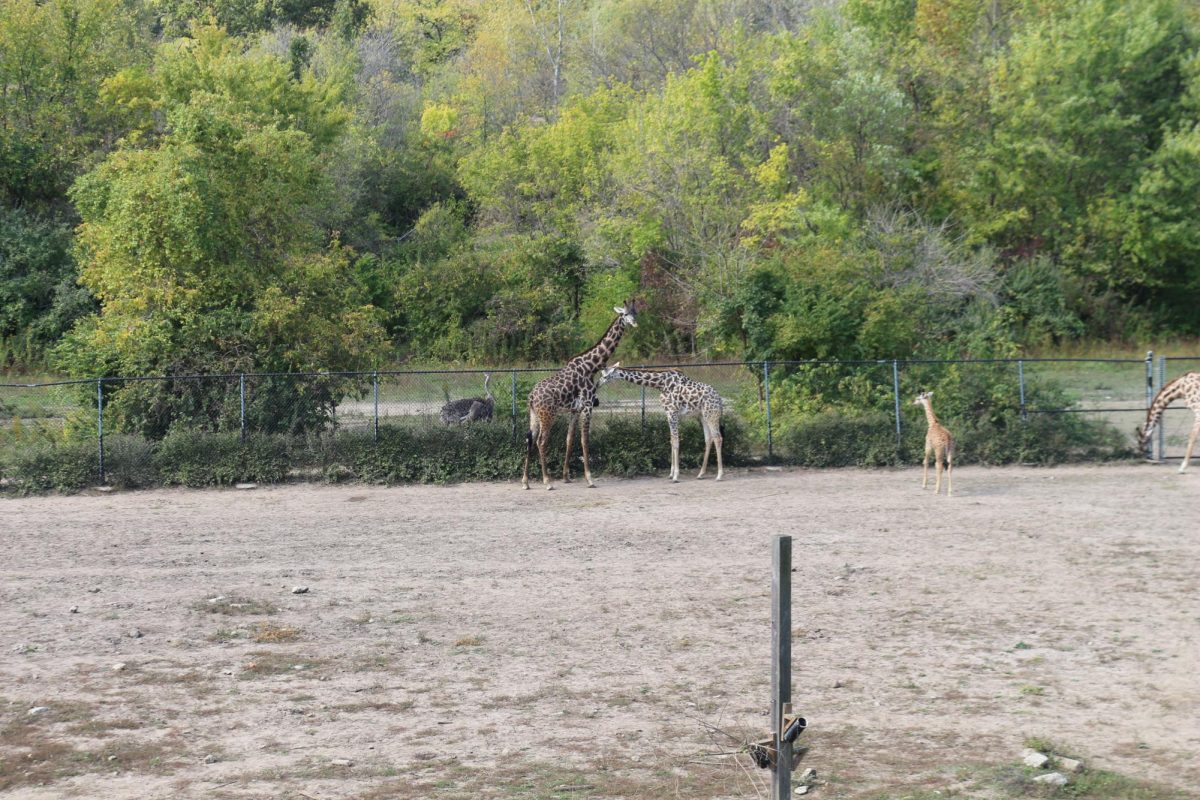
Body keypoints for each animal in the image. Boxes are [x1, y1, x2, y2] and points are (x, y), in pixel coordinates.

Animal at [523, 299, 643, 489]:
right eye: (624, 314)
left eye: (635, 312)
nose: (634, 323)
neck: (591, 366)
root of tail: (532, 397)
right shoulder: (587, 406)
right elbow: (584, 440)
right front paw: (590, 479)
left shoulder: (575, 410)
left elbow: (570, 439)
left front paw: (566, 477)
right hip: (548, 415)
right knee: (541, 442)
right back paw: (547, 481)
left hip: (534, 415)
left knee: (530, 439)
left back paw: (526, 482)